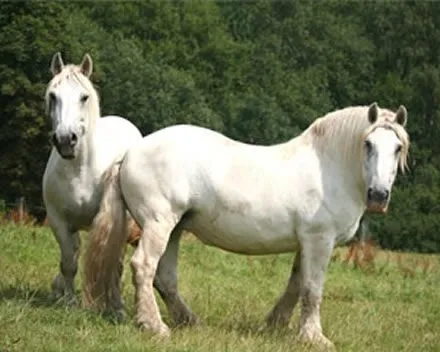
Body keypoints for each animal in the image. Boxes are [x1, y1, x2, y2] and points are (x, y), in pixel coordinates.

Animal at [42, 52, 142, 308]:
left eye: (84, 97)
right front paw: (67, 301)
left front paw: (116, 306)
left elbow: (113, 264)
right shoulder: (59, 221)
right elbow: (69, 262)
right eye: (53, 96)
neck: (79, 170)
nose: (65, 139)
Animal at [83, 103, 410, 348]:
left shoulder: (305, 242)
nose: (378, 196)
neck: (329, 168)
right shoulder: (320, 240)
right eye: (368, 144)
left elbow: (296, 284)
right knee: (144, 267)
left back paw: (189, 321)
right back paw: (154, 326)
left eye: (397, 148)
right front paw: (314, 337)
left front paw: (275, 325)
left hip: (174, 229)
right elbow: (312, 288)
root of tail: (130, 154)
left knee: (165, 278)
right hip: (158, 224)